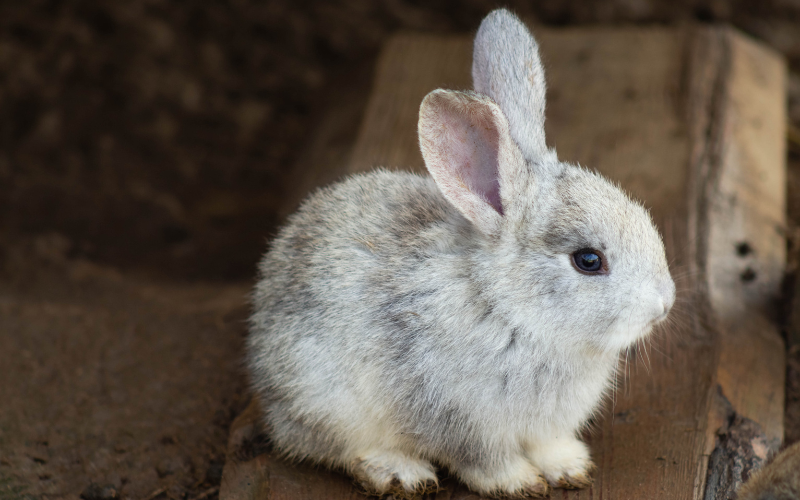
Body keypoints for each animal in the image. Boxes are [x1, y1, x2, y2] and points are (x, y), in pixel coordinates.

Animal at [248, 8, 676, 500]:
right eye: (588, 261)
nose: (664, 304)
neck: (510, 310)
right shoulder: (460, 421)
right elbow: (484, 461)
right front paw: (519, 483)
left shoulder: (545, 426)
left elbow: (549, 445)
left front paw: (570, 468)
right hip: (327, 401)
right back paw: (400, 473)